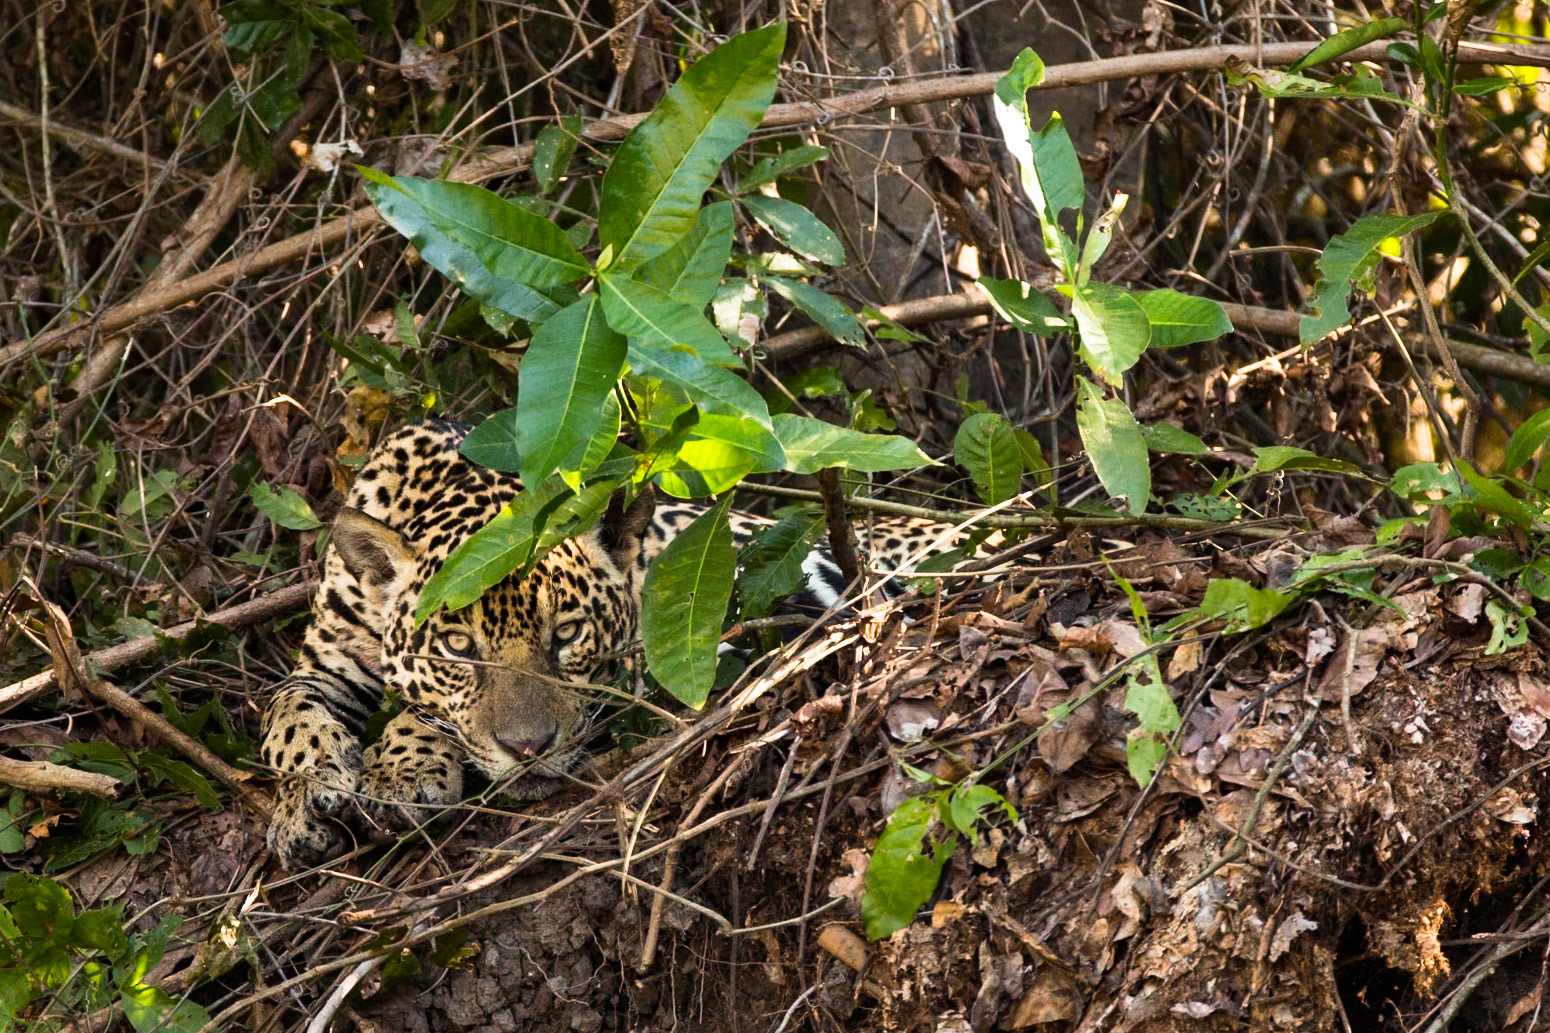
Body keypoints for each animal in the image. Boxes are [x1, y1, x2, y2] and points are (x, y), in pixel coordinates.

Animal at [260, 419, 958, 868]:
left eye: (567, 634)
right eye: (457, 646)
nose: (529, 749)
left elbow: (417, 710)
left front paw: (399, 770)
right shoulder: (325, 659)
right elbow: (284, 713)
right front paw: (303, 800)